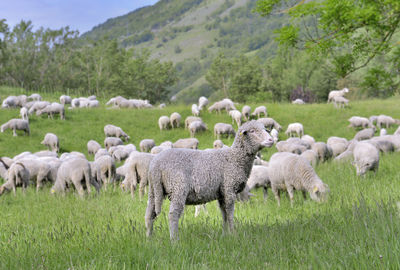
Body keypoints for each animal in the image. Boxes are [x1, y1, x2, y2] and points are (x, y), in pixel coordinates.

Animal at [146, 121, 276, 239]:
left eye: (265, 129)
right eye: (252, 131)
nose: (271, 140)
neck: (234, 157)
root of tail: (156, 166)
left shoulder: (221, 193)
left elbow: (223, 214)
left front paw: (225, 234)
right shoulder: (229, 188)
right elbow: (230, 213)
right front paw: (233, 234)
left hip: (154, 190)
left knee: (149, 215)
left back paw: (149, 238)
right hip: (178, 187)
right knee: (173, 215)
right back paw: (174, 240)